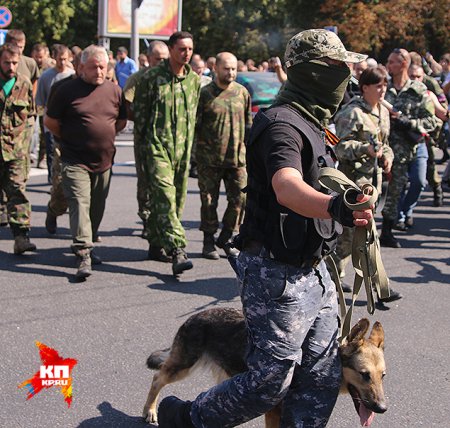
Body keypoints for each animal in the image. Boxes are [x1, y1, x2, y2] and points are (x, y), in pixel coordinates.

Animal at [143, 310, 386, 426]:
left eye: (382, 376)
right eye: (364, 375)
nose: (382, 409)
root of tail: (196, 315)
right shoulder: (274, 411)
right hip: (183, 366)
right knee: (157, 378)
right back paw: (151, 410)